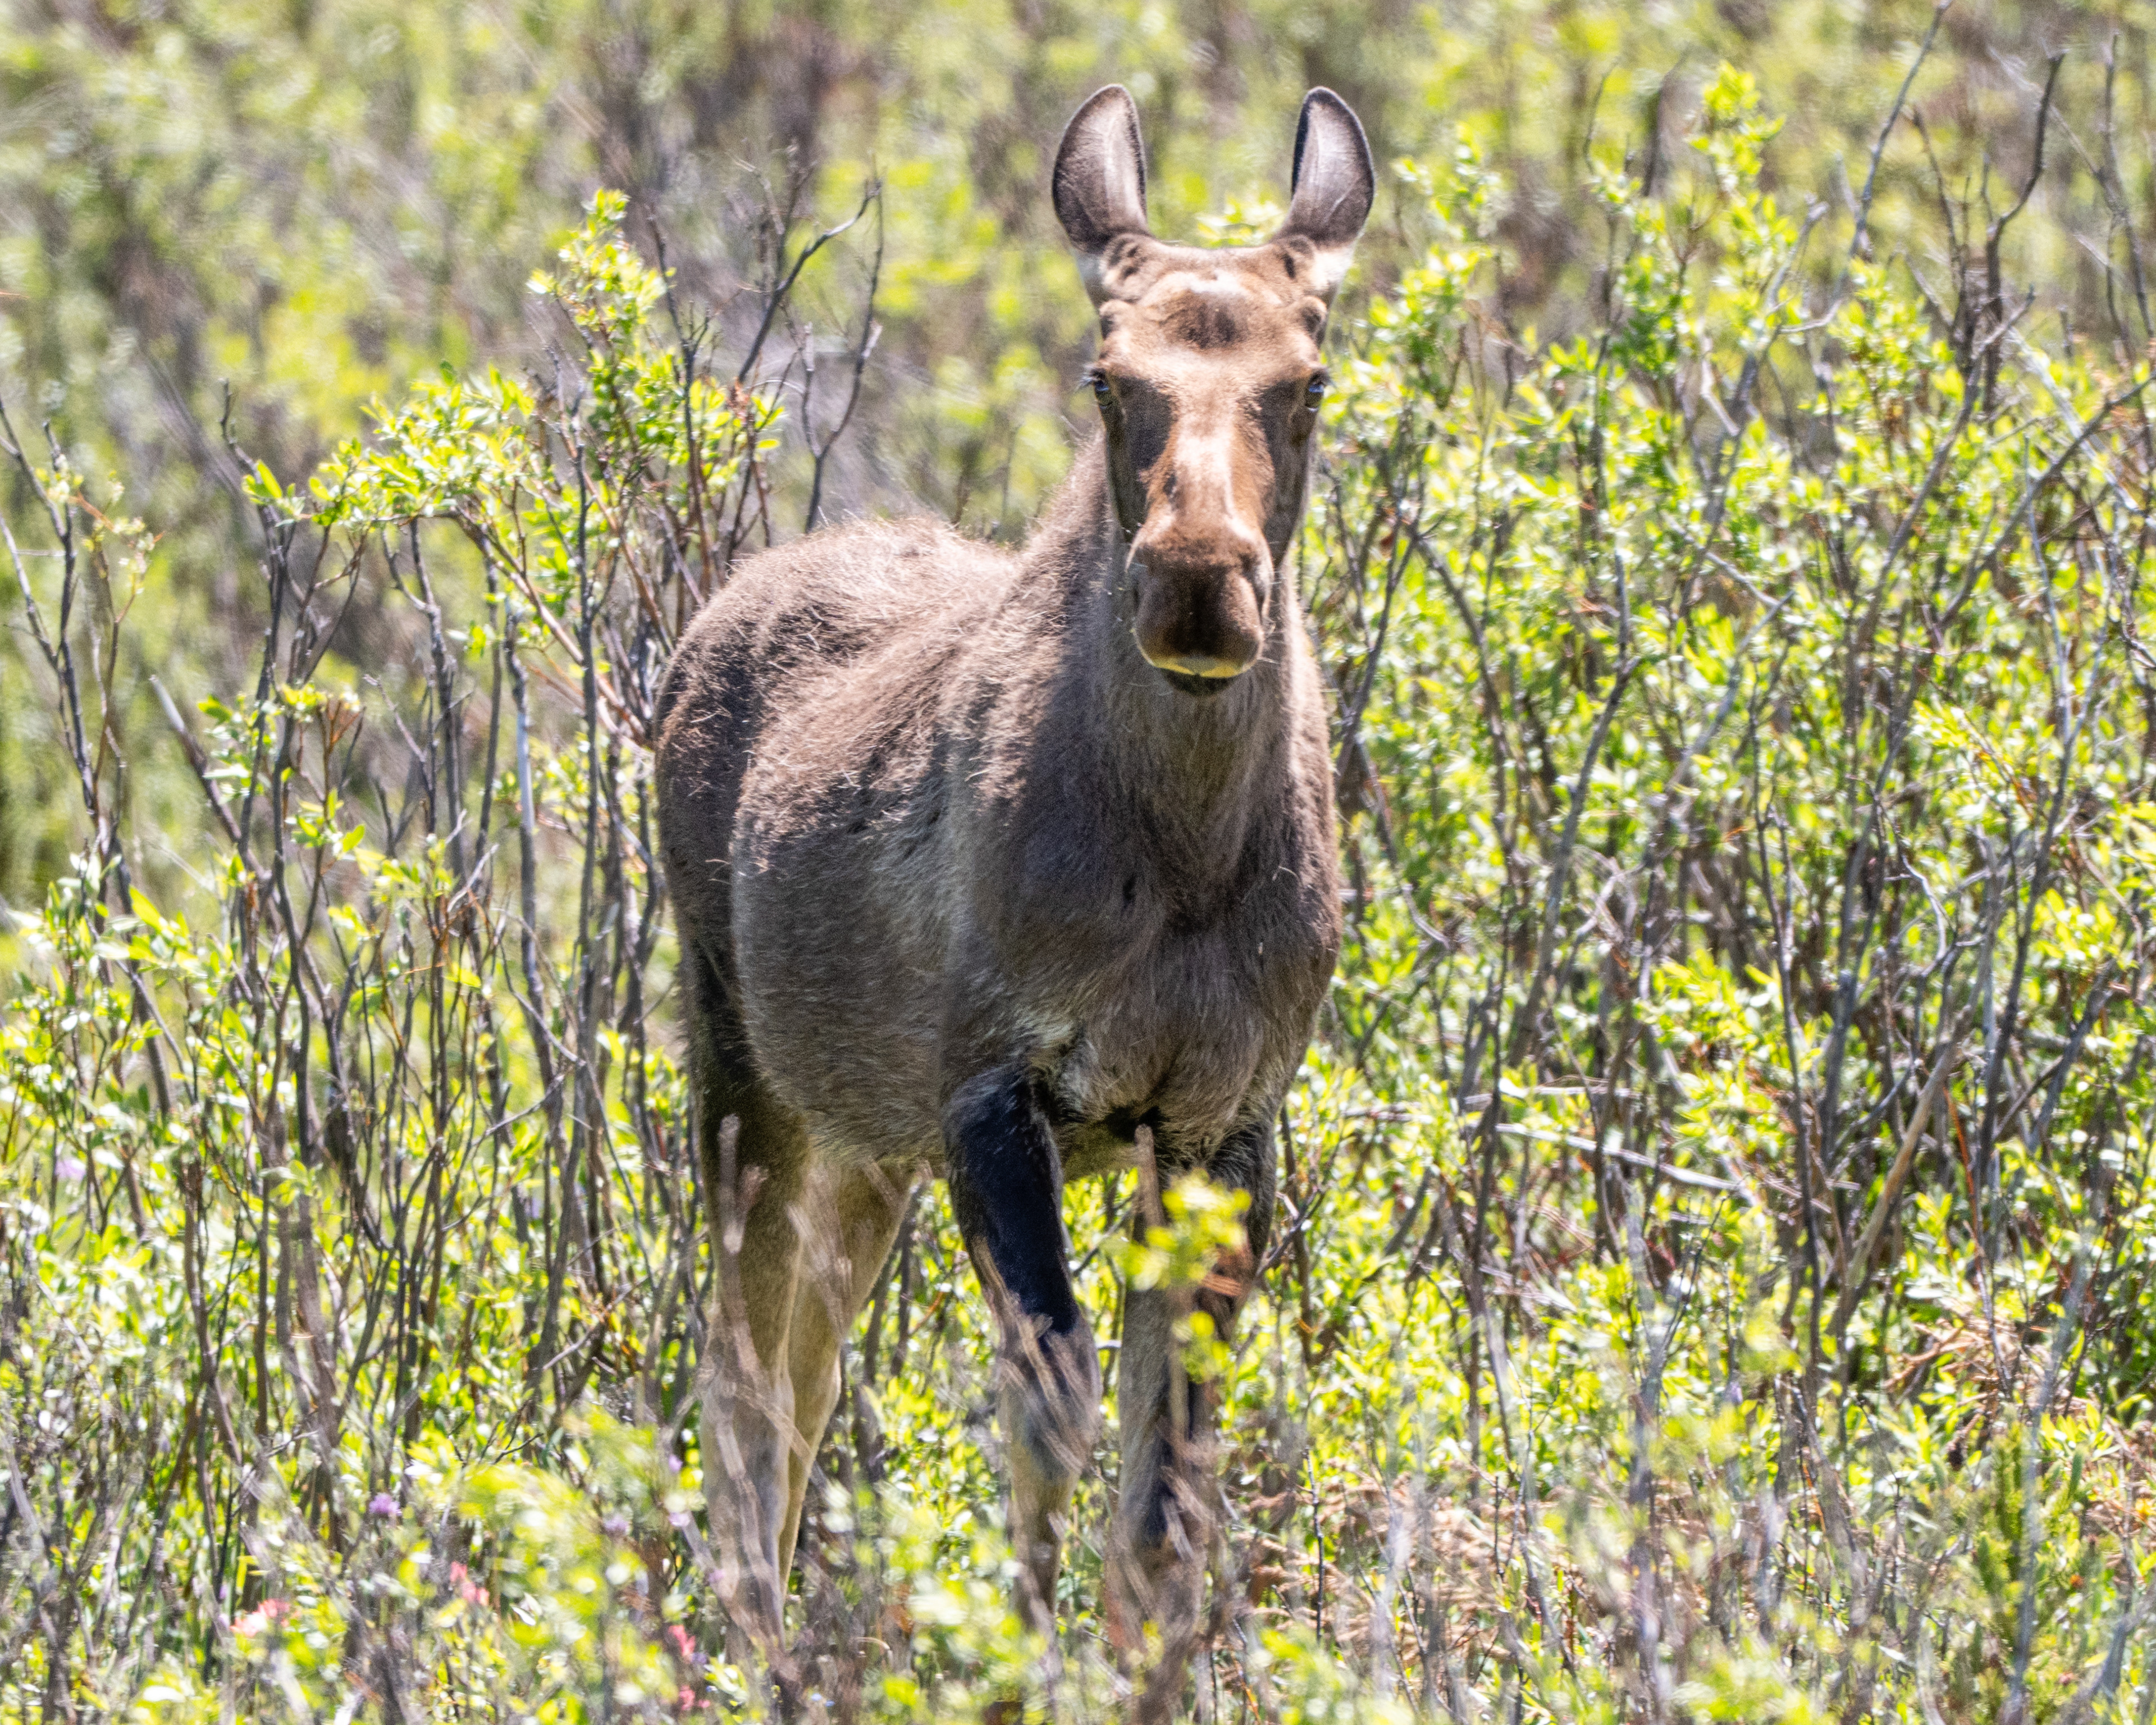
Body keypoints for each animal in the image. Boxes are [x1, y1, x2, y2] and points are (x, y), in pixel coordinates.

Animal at [654, 81, 1371, 1700]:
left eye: (1307, 378)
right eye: (1109, 375)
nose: (1199, 583)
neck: (1183, 860)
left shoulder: (1224, 1121)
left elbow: (1171, 1489)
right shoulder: (997, 1082)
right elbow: (1048, 1410)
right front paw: (1027, 1669)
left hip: (867, 1146)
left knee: (808, 1372)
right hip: (743, 1070)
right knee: (739, 1376)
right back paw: (758, 1655)